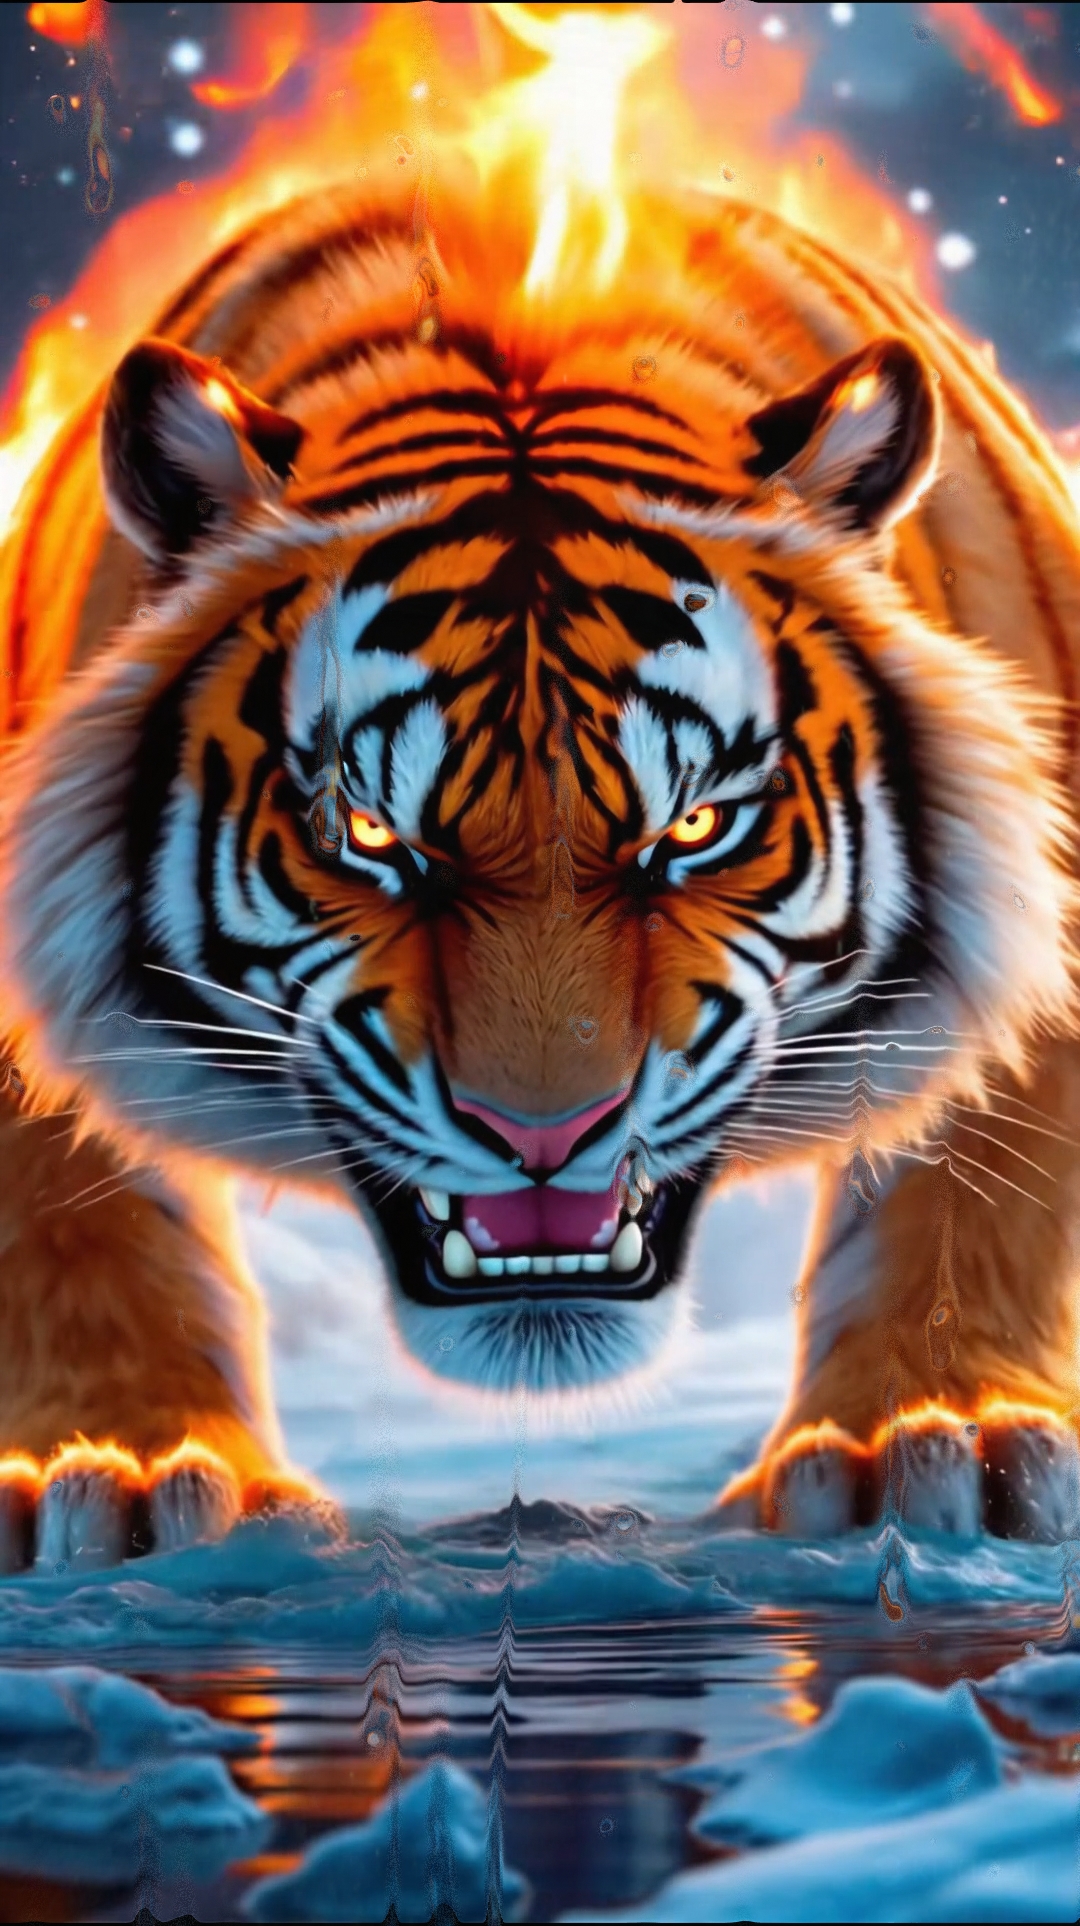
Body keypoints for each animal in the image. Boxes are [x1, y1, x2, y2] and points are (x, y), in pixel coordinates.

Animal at [1, 152, 1080, 1575]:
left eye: (692, 829)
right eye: (371, 835)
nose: (543, 1138)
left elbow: (977, 1180)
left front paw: (933, 1444)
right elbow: (78, 1209)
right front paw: (118, 1472)